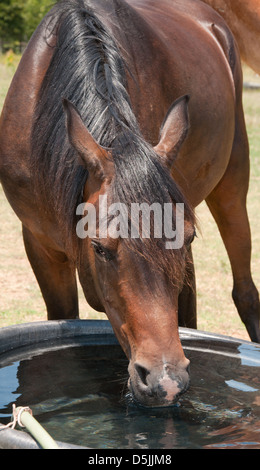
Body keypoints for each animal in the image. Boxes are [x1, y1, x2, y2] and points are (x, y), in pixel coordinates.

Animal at [0, 0, 258, 408]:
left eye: (188, 237)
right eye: (100, 248)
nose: (165, 381)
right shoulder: (38, 244)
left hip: (233, 179)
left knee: (245, 292)